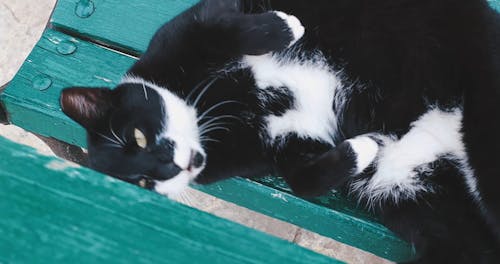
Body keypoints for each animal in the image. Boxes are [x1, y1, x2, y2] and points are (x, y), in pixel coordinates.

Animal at [61, 0, 500, 262]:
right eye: (142, 183)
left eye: (138, 137)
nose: (173, 166)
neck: (212, 109)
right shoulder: (278, 146)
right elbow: (302, 178)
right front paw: (364, 148)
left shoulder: (184, 33)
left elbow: (221, 26)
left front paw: (286, 27)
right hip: (424, 203)